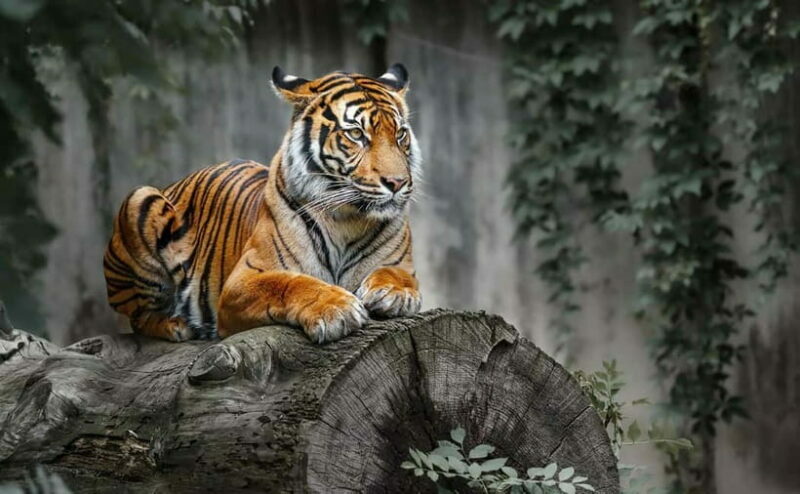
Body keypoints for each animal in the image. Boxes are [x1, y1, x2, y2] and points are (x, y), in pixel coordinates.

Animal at [103, 64, 421, 344]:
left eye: (400, 134)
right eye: (356, 134)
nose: (397, 183)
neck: (347, 220)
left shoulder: (399, 263)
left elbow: (399, 274)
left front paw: (395, 293)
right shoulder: (242, 281)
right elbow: (289, 283)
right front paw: (335, 308)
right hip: (140, 199)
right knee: (138, 317)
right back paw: (175, 325)